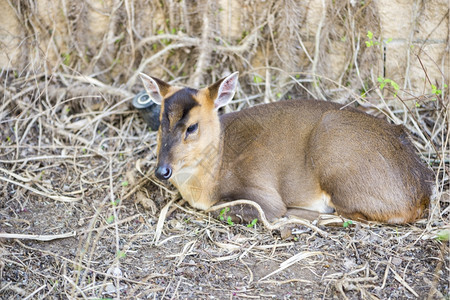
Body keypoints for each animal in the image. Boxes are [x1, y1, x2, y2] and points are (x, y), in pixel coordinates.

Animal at [139, 71, 434, 224]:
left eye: (192, 127)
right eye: (161, 121)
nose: (162, 170)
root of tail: (420, 196)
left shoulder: (260, 192)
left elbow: (227, 209)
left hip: (336, 157)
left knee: (348, 215)